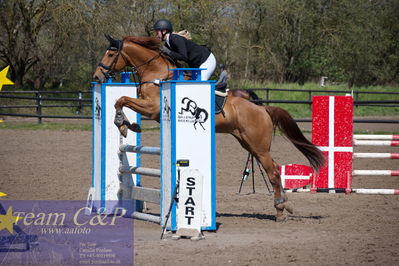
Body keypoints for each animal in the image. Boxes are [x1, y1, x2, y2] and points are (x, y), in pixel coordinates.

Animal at [94, 35, 324, 222]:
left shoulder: (152, 108)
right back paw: (285, 205)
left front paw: (123, 124)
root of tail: (263, 109)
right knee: (274, 167)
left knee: (274, 172)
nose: (97, 77)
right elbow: (122, 101)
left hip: (258, 146)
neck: (156, 72)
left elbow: (122, 99)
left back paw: (279, 211)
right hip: (249, 144)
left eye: (111, 53)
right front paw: (128, 125)